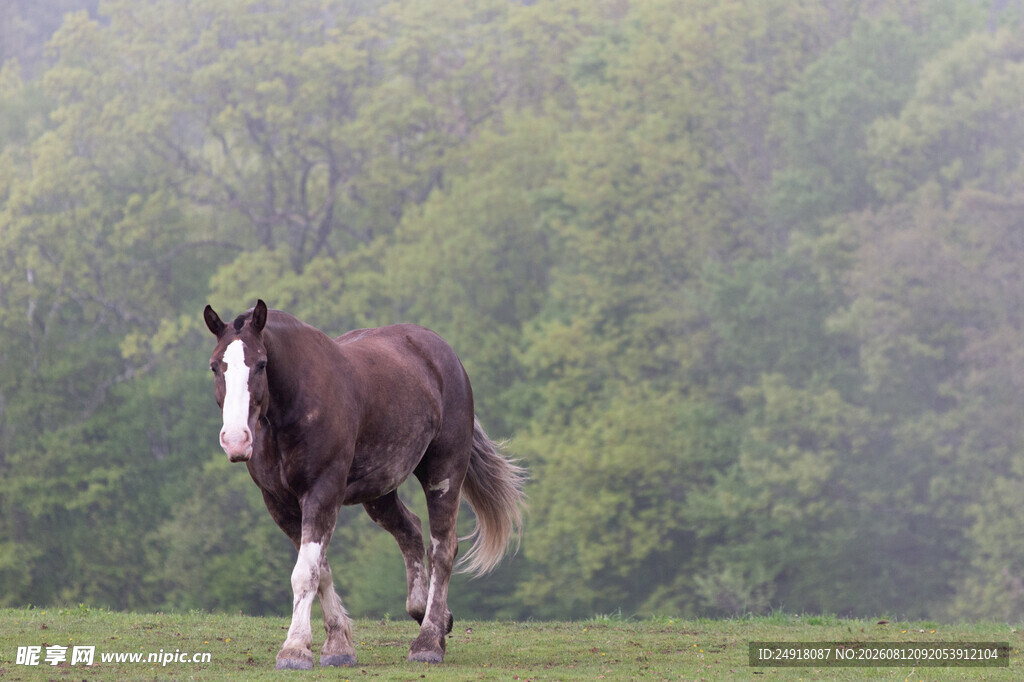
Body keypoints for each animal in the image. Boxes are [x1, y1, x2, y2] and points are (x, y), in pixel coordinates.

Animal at [203, 300, 526, 668]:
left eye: (261, 364)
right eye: (215, 366)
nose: (236, 440)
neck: (291, 409)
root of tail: (444, 354)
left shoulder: (323, 492)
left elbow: (305, 572)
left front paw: (295, 649)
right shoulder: (280, 503)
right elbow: (321, 569)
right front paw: (337, 645)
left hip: (443, 473)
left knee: (442, 548)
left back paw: (428, 640)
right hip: (380, 490)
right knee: (410, 530)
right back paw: (432, 616)